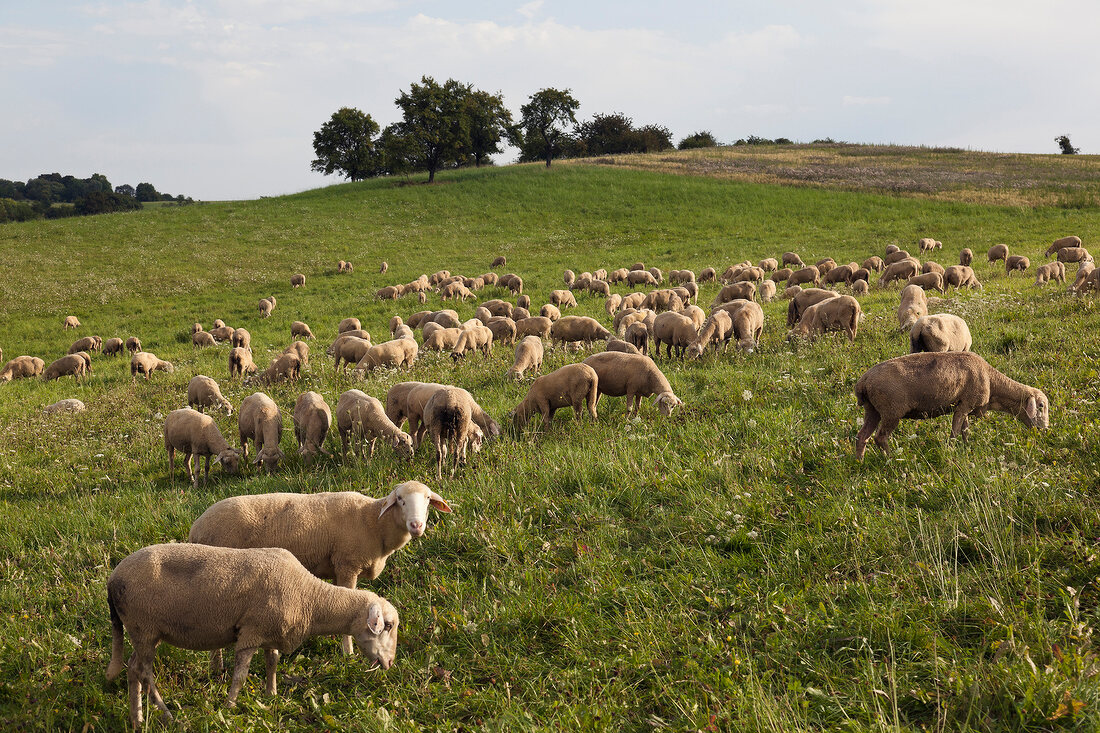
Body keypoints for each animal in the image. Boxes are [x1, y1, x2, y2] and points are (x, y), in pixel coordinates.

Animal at [103, 541, 400, 726]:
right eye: (387, 625)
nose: (390, 663)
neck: (310, 598)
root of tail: (113, 578)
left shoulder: (271, 631)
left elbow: (272, 662)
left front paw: (271, 695)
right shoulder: (251, 633)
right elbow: (241, 675)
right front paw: (229, 707)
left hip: (142, 631)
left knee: (133, 668)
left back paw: (137, 719)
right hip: (144, 626)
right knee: (144, 672)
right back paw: (166, 714)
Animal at [849, 347, 1047, 457]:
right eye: (1041, 406)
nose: (1045, 430)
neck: (993, 382)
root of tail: (863, 382)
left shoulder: (965, 406)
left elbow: (965, 430)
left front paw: (967, 447)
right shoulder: (965, 405)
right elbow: (955, 432)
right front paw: (951, 449)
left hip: (872, 409)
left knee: (862, 436)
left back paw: (859, 461)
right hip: (891, 411)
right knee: (880, 438)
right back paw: (890, 459)